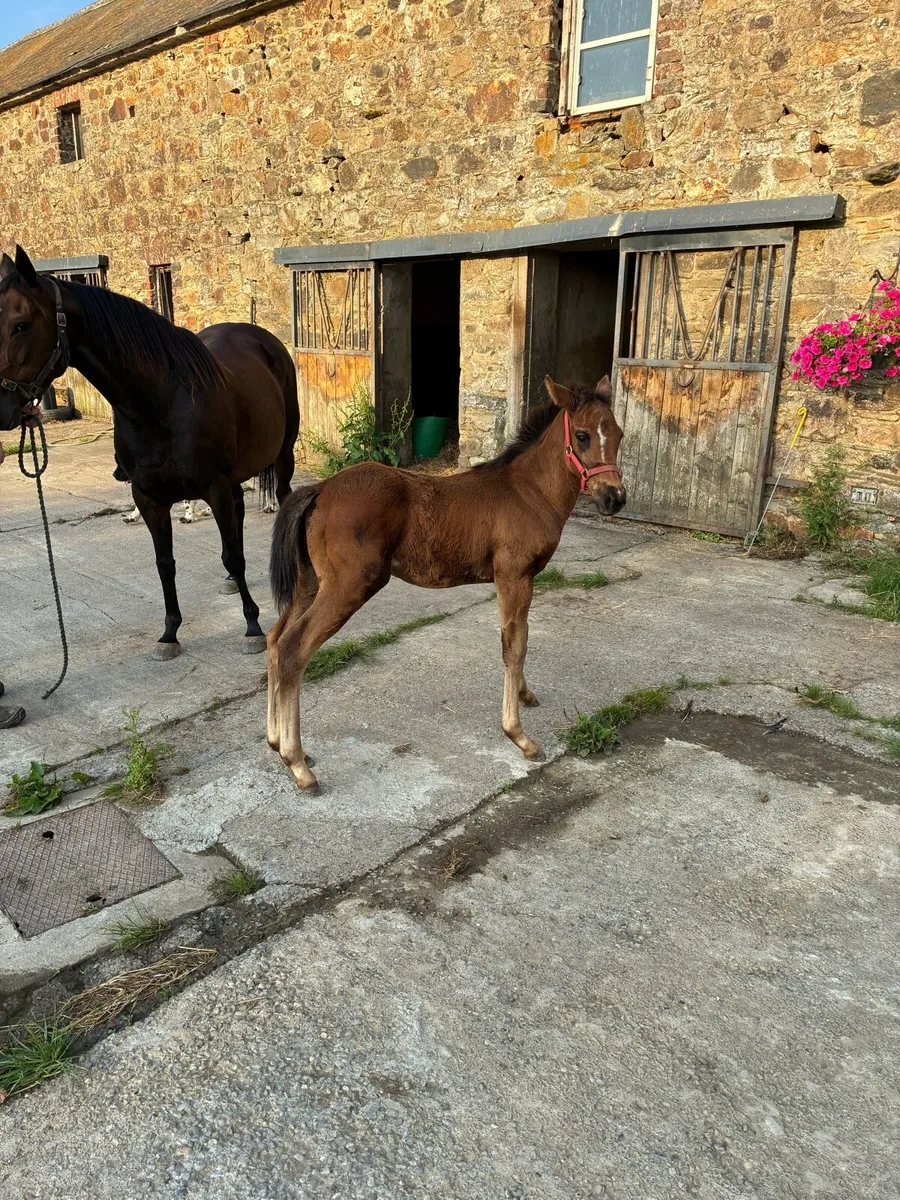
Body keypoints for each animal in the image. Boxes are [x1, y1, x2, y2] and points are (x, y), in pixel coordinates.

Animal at [0, 245, 299, 658]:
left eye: (22, 325)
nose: (0, 407)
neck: (160, 405)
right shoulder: (148, 497)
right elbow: (164, 563)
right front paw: (170, 632)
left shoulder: (214, 488)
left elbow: (232, 554)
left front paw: (252, 626)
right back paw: (229, 582)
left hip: (282, 453)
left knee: (283, 498)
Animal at [267, 375, 626, 789]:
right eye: (582, 435)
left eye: (618, 433)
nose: (615, 497)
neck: (528, 491)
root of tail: (320, 490)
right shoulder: (513, 576)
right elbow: (513, 647)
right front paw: (519, 736)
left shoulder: (523, 579)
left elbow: (522, 638)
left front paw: (525, 694)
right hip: (348, 586)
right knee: (293, 649)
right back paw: (298, 764)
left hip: (309, 584)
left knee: (274, 639)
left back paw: (276, 743)